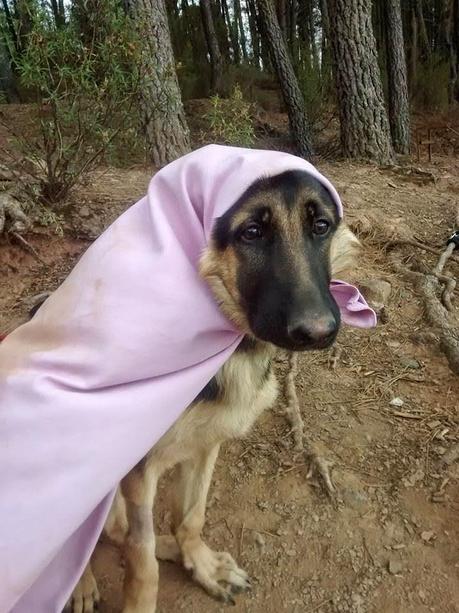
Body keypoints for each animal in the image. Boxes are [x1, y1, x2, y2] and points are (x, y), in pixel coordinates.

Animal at [66, 169, 360, 612]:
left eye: (321, 226)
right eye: (252, 232)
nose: (318, 332)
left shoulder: (206, 444)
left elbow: (190, 517)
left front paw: (200, 564)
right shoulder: (137, 468)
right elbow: (141, 561)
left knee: (118, 530)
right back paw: (79, 585)